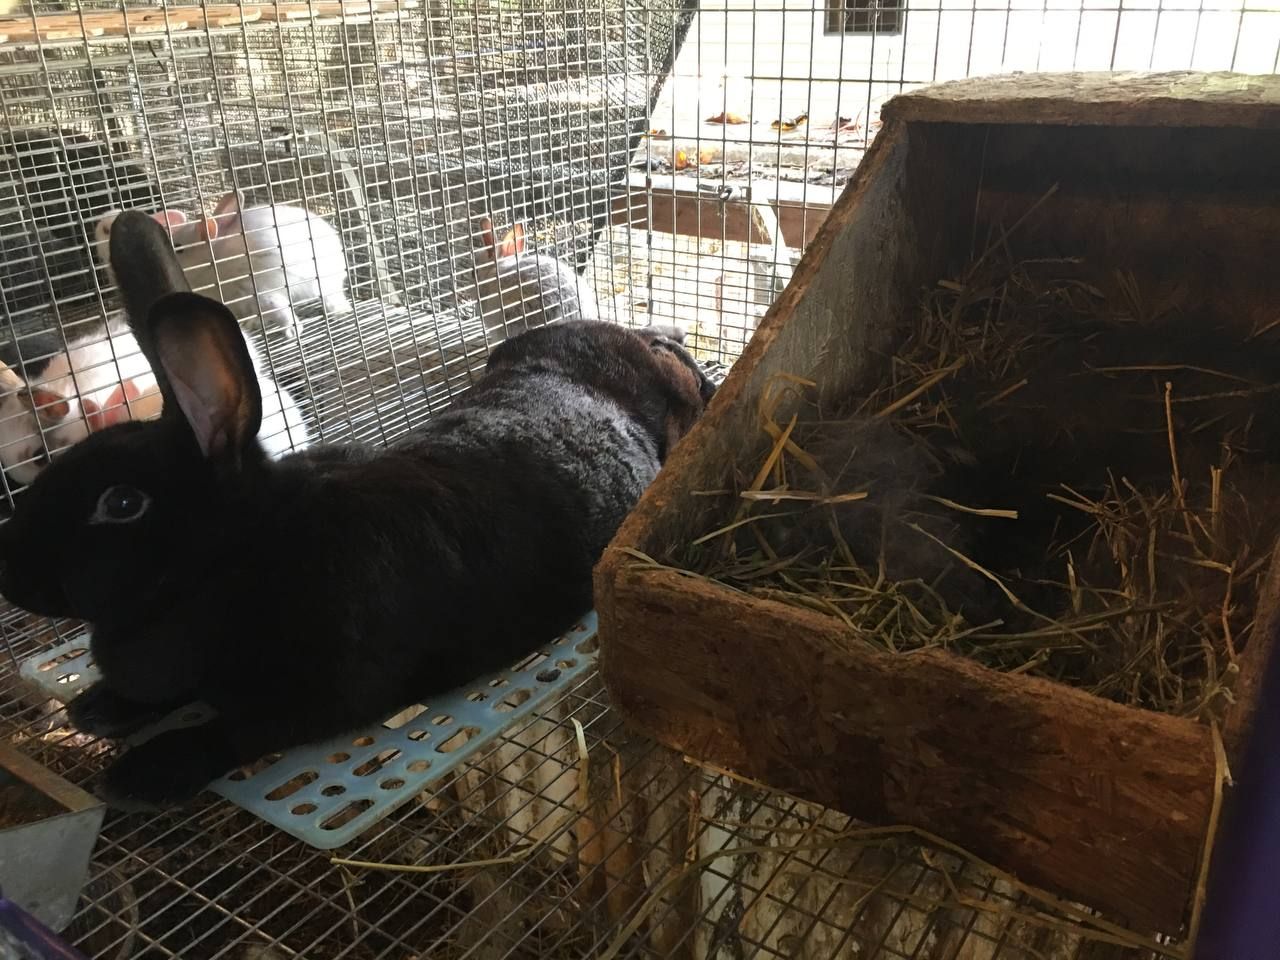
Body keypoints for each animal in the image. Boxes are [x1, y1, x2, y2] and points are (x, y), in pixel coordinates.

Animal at [95, 192, 351, 340]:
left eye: (179, 248)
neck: (216, 267)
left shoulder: (258, 291)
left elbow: (280, 311)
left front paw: (292, 331)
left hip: (323, 284)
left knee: (331, 298)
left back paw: (340, 310)